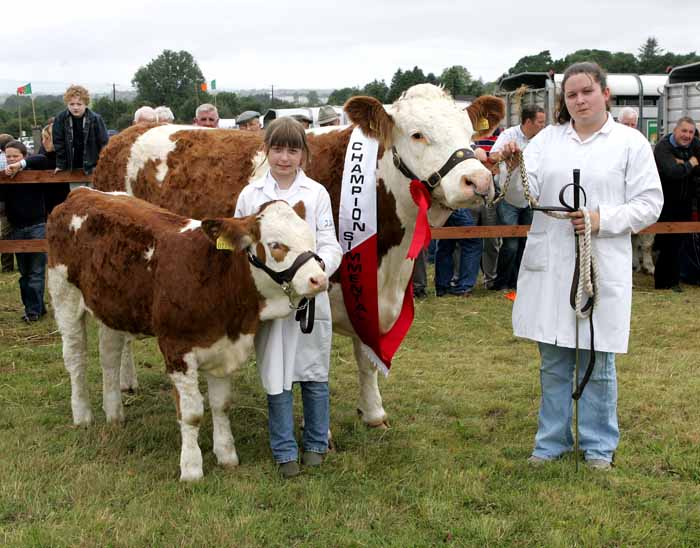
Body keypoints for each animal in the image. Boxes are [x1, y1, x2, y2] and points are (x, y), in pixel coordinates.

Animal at [47, 188, 326, 480]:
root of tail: (81, 192)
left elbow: (221, 404)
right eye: (276, 245)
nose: (319, 279)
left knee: (109, 356)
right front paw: (191, 469)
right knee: (76, 358)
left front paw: (226, 455)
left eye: (310, 238)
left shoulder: (224, 347)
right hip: (64, 295)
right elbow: (192, 413)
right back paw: (83, 415)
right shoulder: (176, 349)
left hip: (111, 307)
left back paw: (114, 414)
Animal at [94, 84, 504, 428]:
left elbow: (367, 358)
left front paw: (373, 412)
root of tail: (125, 136)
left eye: (469, 134)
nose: (478, 181)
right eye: (418, 134)